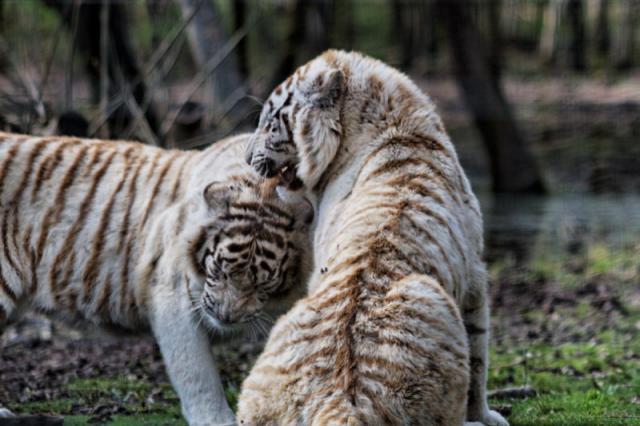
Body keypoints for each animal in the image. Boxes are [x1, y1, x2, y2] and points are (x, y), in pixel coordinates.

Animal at [0, 131, 312, 424]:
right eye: (219, 270)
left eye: (262, 285)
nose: (226, 316)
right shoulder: (172, 294)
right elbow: (197, 372)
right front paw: (217, 420)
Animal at [240, 50, 510, 426]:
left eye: (270, 123)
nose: (247, 158)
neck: (391, 124)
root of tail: (340, 402)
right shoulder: (475, 278)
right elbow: (479, 358)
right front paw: (485, 415)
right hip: (430, 294)